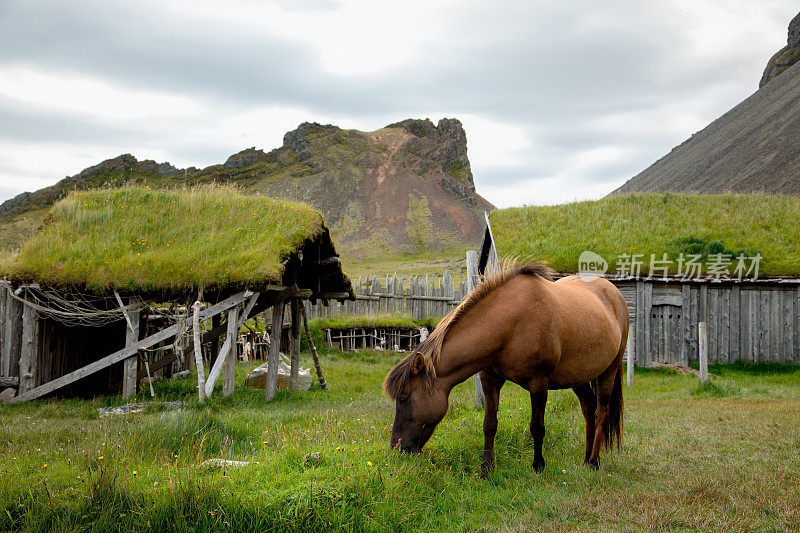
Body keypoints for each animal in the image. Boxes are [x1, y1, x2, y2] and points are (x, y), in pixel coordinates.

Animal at [384, 260, 628, 470]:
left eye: (403, 398)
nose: (397, 447)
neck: (511, 325)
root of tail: (614, 294)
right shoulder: (490, 380)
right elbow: (489, 424)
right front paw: (486, 467)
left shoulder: (538, 384)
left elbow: (537, 427)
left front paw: (538, 466)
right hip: (578, 377)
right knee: (588, 408)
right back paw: (586, 457)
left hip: (609, 370)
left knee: (601, 412)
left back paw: (594, 461)